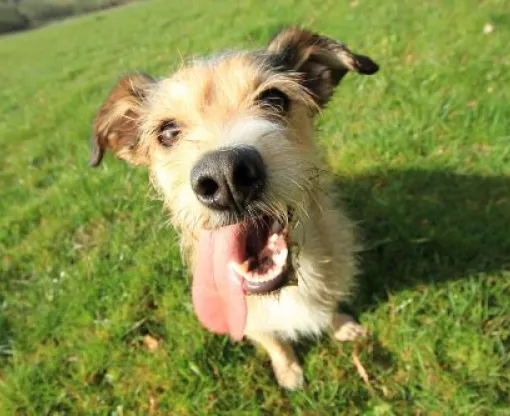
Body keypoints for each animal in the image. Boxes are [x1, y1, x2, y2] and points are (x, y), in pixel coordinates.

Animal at [89, 26, 378, 390]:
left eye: (274, 98)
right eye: (168, 131)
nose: (226, 176)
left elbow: (329, 305)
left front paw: (341, 325)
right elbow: (273, 341)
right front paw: (289, 371)